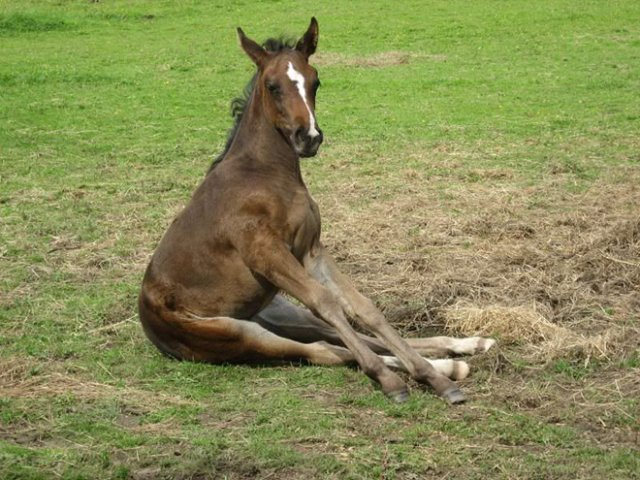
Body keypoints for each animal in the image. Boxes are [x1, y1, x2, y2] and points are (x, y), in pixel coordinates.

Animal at [139, 16, 496, 404]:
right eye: (272, 86)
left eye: (315, 81)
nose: (308, 137)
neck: (262, 174)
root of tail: (147, 321)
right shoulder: (267, 254)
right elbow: (326, 301)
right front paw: (395, 381)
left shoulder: (310, 250)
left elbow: (362, 308)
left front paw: (436, 378)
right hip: (240, 334)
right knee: (326, 349)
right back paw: (429, 367)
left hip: (278, 312)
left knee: (338, 336)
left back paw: (463, 350)